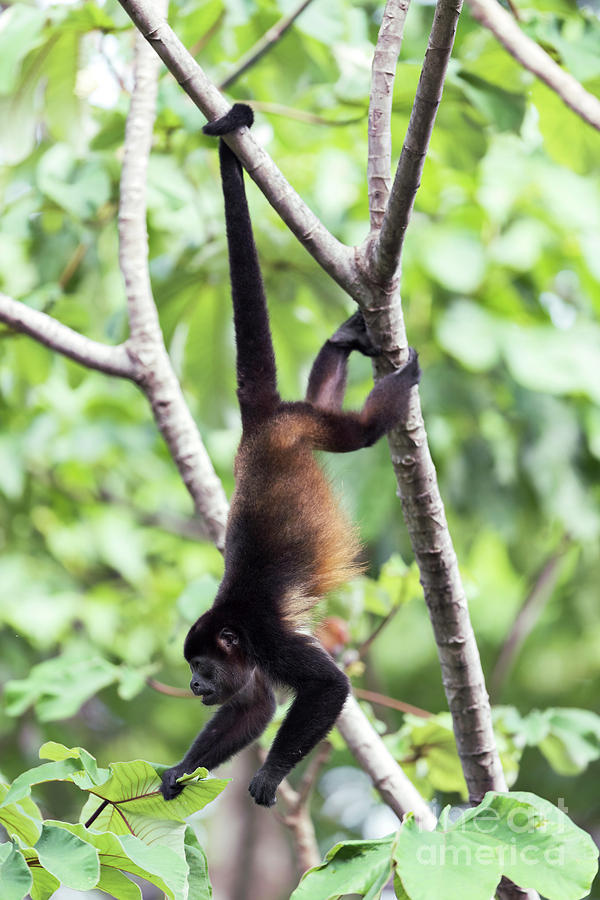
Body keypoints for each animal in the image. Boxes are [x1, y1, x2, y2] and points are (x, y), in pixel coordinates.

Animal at [161, 105, 422, 808]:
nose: (193, 687)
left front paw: (270, 775)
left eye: (200, 666)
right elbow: (252, 708)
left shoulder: (271, 640)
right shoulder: (252, 662)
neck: (235, 629)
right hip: (299, 423)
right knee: (325, 395)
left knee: (361, 431)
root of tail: (259, 427)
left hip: (304, 425)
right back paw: (341, 342)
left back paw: (400, 382)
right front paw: (175, 772)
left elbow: (330, 687)